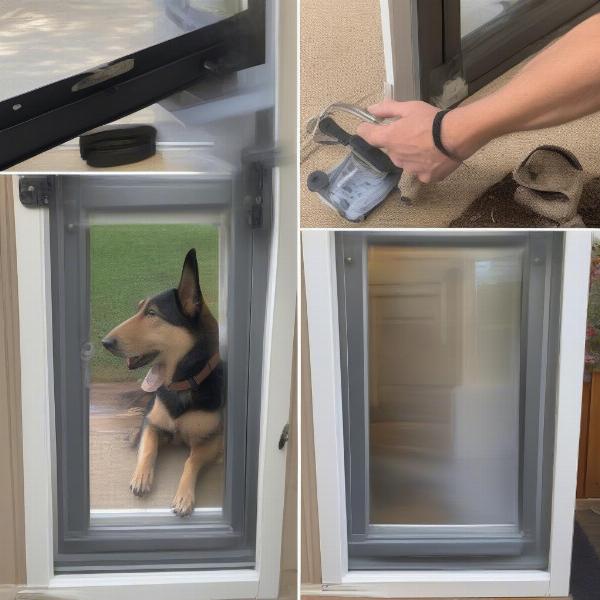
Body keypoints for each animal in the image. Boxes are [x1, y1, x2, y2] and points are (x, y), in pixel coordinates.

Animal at [101, 248, 223, 516]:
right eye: (139, 310)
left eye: (152, 314)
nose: (104, 342)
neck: (181, 383)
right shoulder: (154, 424)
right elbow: (148, 447)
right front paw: (141, 476)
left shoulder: (213, 440)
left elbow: (192, 459)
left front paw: (184, 495)